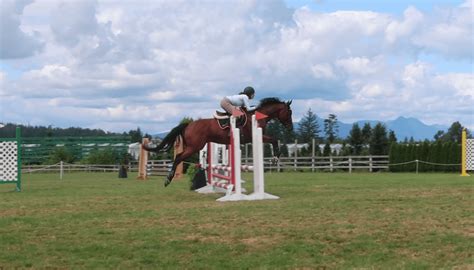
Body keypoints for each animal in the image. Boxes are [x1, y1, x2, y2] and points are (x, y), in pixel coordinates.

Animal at [143, 98, 294, 187]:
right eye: (289, 112)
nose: (291, 128)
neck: (258, 116)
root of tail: (188, 124)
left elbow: (274, 140)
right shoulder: (255, 136)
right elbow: (274, 140)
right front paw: (275, 158)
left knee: (179, 157)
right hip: (194, 147)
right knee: (179, 157)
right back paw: (168, 179)